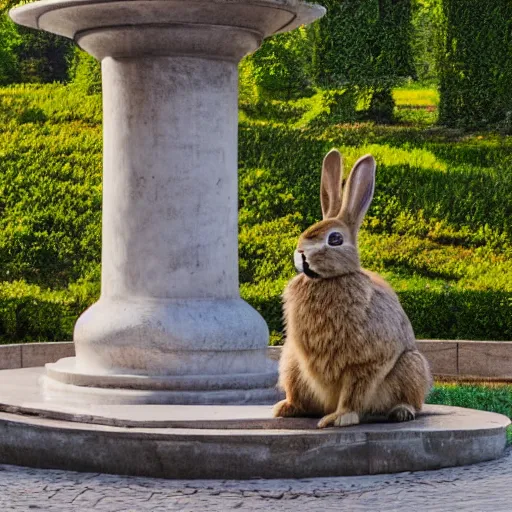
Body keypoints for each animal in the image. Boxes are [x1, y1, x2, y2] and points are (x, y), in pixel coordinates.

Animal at [274, 149, 430, 428]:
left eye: (335, 239)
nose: (300, 254)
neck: (329, 279)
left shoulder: (366, 362)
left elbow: (354, 392)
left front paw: (339, 418)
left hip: (410, 366)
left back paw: (401, 411)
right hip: (291, 363)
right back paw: (286, 407)